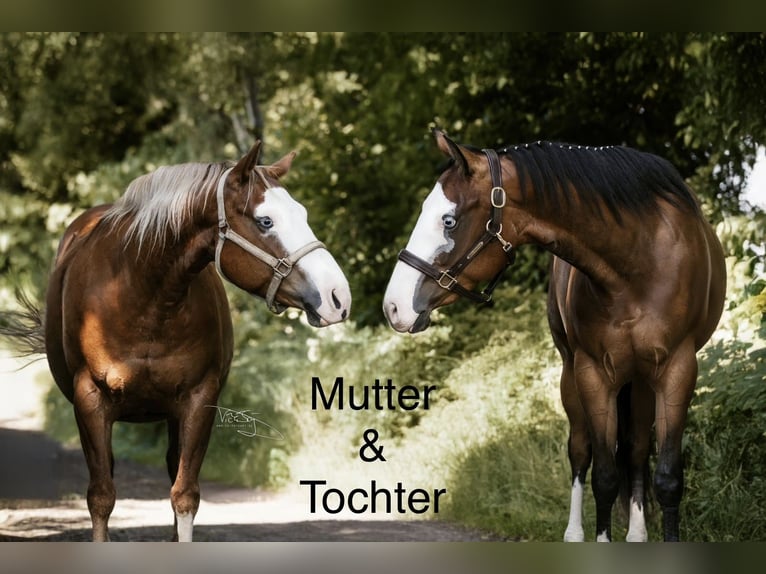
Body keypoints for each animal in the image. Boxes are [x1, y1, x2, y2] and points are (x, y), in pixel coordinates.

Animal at [0, 141, 351, 541]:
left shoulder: (199, 400)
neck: (144, 296)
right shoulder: (90, 401)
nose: (338, 296)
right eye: (266, 221)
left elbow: (184, 495)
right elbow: (101, 496)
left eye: (302, 213)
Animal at [383, 130, 726, 542]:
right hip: (572, 375)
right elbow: (604, 477)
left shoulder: (678, 369)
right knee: (581, 451)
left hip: (642, 380)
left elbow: (668, 479)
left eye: (448, 220)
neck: (638, 263)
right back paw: (574, 533)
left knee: (636, 451)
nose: (394, 306)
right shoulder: (593, 373)